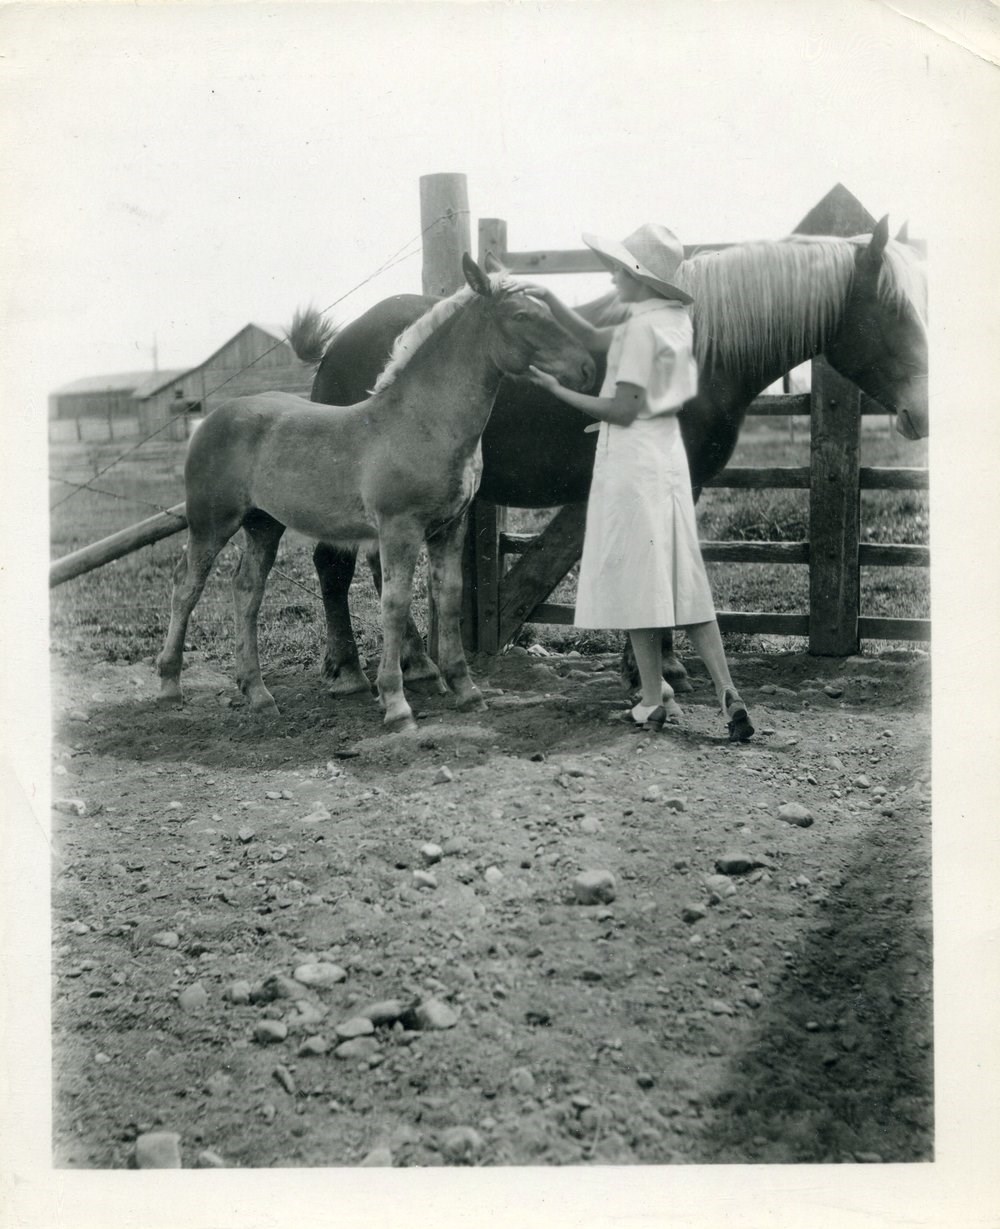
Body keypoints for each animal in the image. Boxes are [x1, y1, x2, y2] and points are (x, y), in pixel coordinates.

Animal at [156, 251, 594, 727]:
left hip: (264, 525)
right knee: (186, 586)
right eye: (520, 315)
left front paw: (466, 689)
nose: (587, 368)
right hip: (211, 522)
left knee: (247, 590)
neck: (423, 421)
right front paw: (397, 703)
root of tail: (211, 418)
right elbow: (396, 602)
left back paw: (258, 693)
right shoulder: (399, 527)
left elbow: (449, 597)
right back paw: (170, 685)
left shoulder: (449, 527)